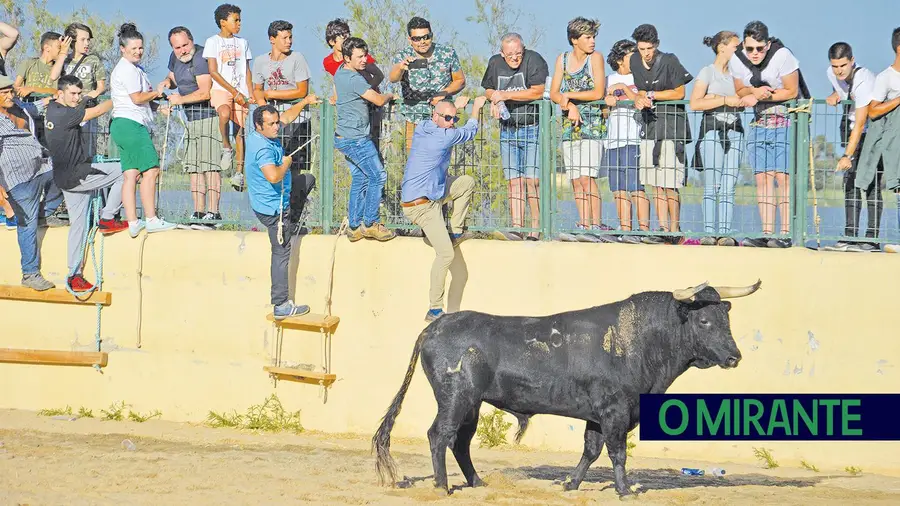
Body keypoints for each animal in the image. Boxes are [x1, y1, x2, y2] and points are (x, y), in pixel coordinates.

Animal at [370, 278, 760, 496]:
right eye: (704, 320)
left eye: (726, 318)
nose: (735, 357)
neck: (640, 340)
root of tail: (435, 327)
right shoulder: (615, 411)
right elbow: (617, 452)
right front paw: (624, 490)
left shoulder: (597, 416)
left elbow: (591, 450)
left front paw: (571, 484)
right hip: (455, 398)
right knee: (440, 435)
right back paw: (441, 486)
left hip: (472, 404)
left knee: (460, 442)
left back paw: (476, 482)